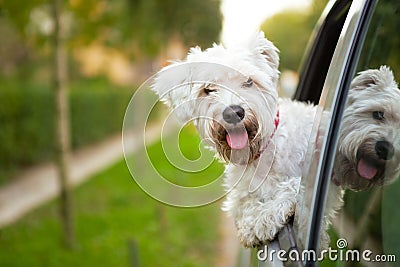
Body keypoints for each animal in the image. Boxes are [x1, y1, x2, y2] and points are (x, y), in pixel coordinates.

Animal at [152, 31, 318, 247]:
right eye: (208, 89)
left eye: (248, 81)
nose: (233, 113)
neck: (258, 157)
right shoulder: (240, 198)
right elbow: (244, 206)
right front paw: (253, 223)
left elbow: (293, 186)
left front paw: (264, 217)